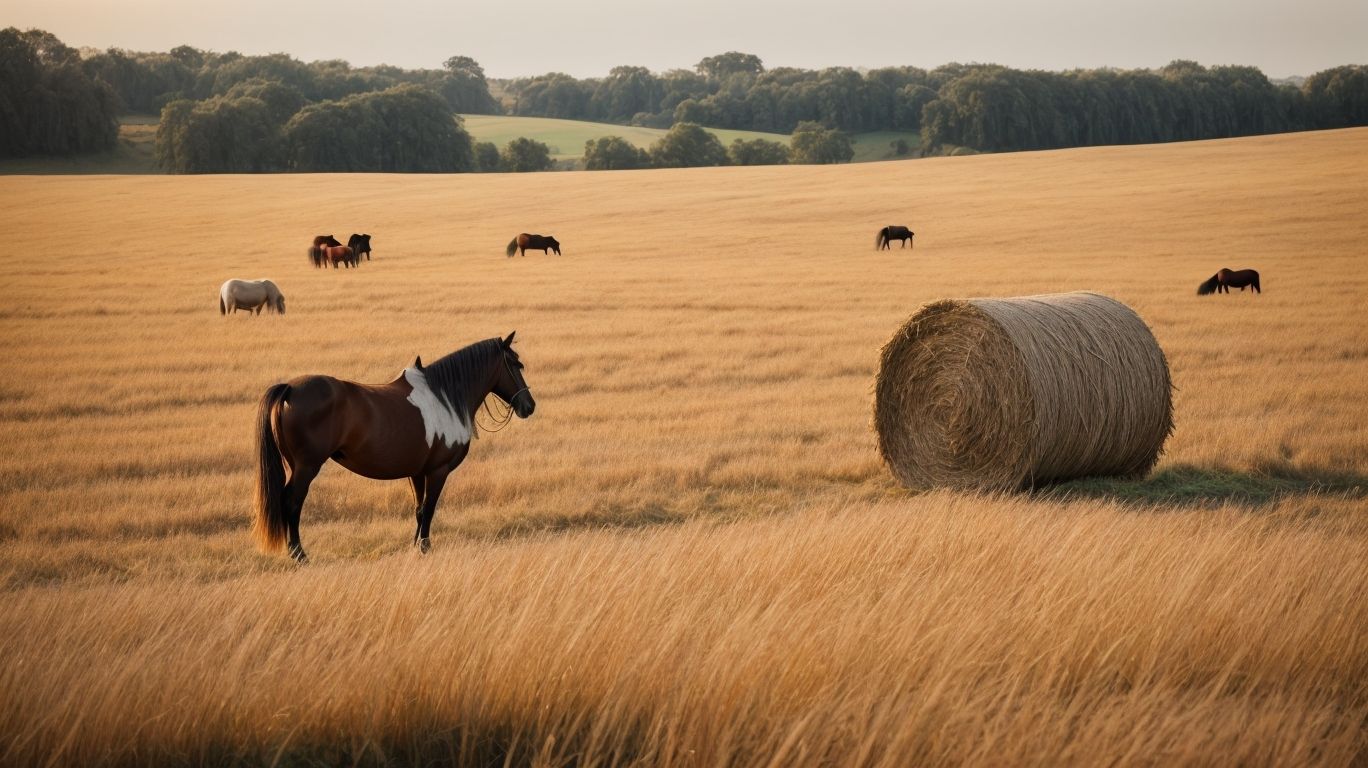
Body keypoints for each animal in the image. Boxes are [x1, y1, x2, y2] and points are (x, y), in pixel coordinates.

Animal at [253, 332, 535, 562]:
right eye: (516, 365)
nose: (529, 406)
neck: (443, 399)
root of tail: (290, 388)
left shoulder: (417, 472)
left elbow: (419, 509)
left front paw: (415, 546)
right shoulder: (438, 471)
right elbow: (429, 508)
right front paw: (425, 548)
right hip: (306, 467)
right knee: (291, 501)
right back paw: (299, 554)